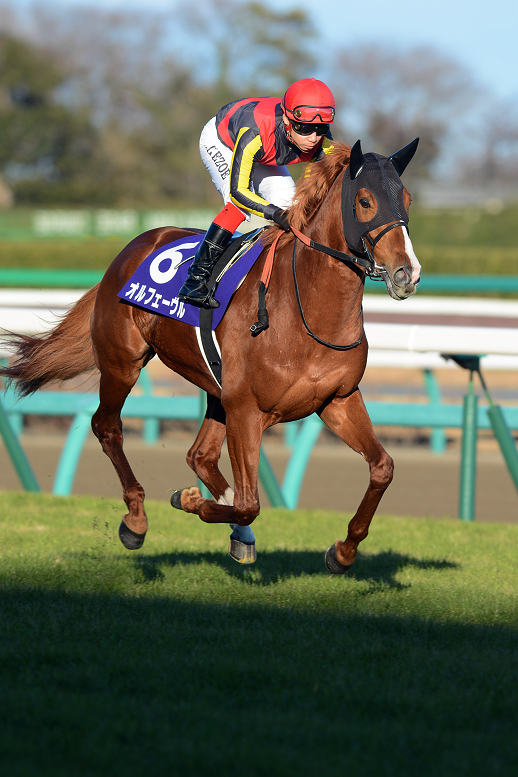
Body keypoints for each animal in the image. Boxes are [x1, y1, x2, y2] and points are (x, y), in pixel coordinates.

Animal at [1, 139, 421, 574]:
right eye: (365, 201)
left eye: (407, 198)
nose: (407, 273)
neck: (306, 308)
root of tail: (133, 246)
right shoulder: (247, 409)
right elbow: (249, 503)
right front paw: (188, 500)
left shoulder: (337, 399)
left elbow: (382, 467)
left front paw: (343, 551)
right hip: (124, 363)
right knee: (108, 426)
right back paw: (136, 519)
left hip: (216, 390)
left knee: (199, 455)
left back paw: (237, 533)